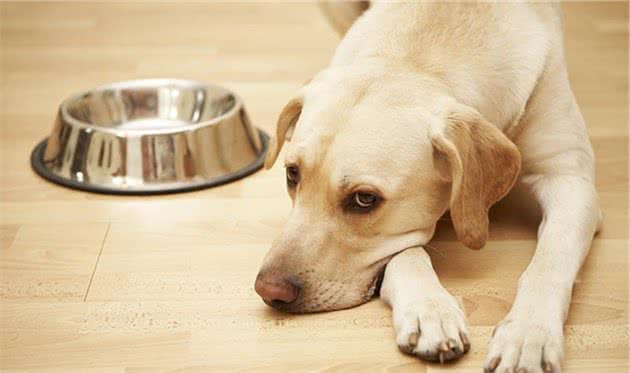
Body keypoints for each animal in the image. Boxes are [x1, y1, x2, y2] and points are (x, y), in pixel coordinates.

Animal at [253, 2, 604, 372]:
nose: (268, 290)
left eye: (364, 199)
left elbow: (549, 262)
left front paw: (527, 334)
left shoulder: (570, 180)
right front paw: (429, 311)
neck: (419, 57)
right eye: (292, 175)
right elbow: (407, 252)